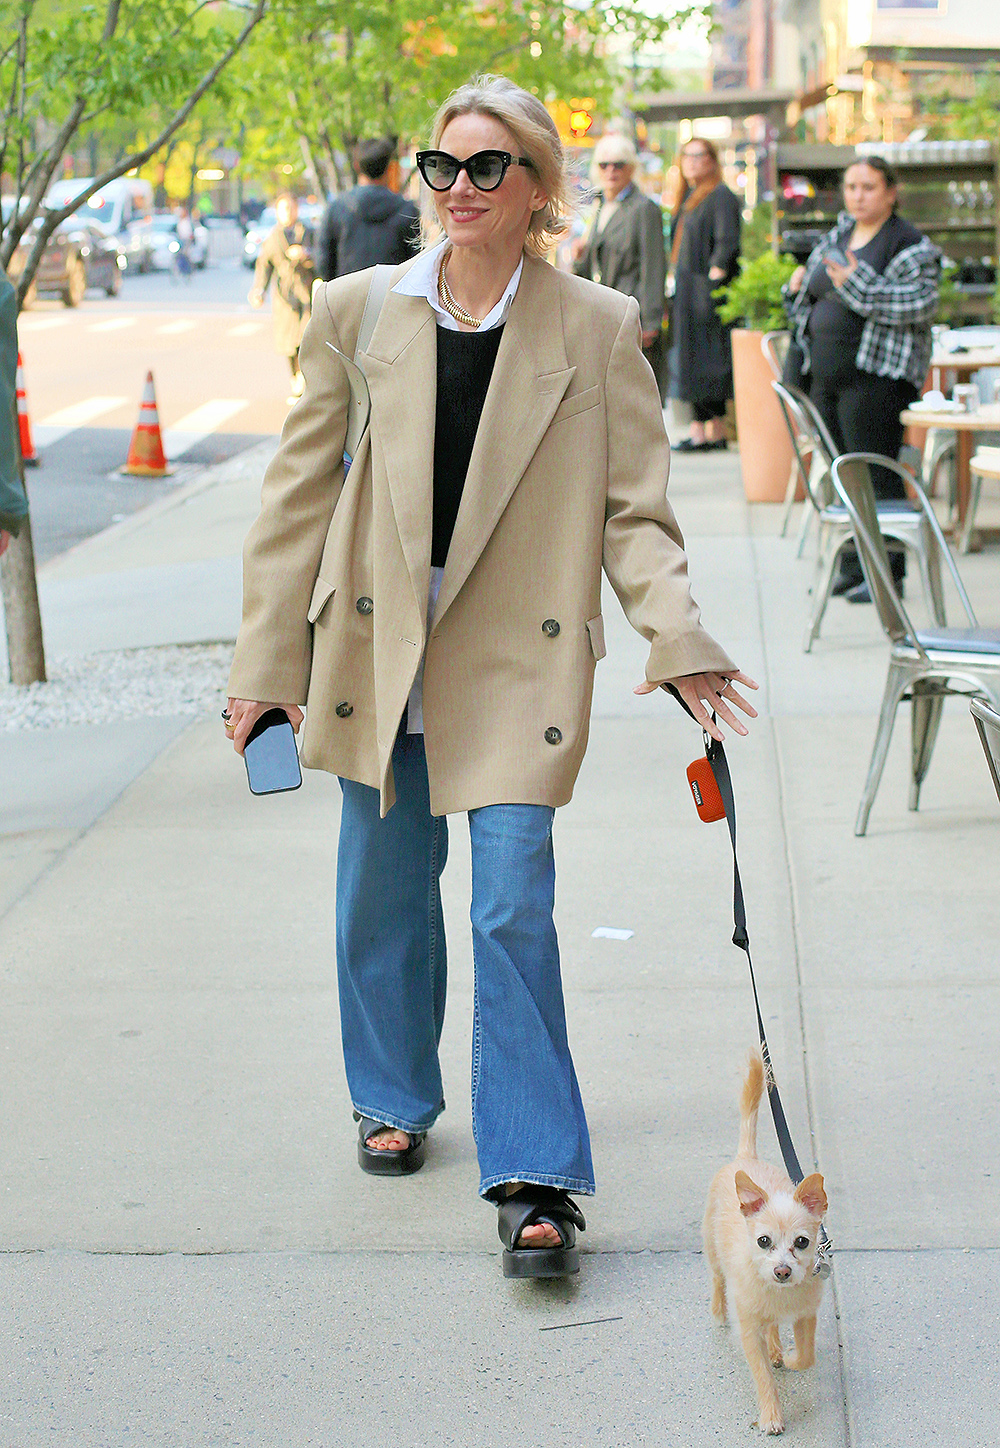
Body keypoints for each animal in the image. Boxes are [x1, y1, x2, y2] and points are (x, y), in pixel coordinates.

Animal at [703, 1054, 827, 1436]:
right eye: (763, 1241)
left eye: (802, 1242)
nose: (782, 1271)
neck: (779, 1293)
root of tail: (746, 1158)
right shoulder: (749, 1330)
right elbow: (761, 1377)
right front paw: (771, 1415)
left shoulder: (805, 1316)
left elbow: (806, 1355)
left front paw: (789, 1356)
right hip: (712, 1251)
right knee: (717, 1279)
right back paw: (718, 1311)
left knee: (773, 1325)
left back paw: (776, 1350)